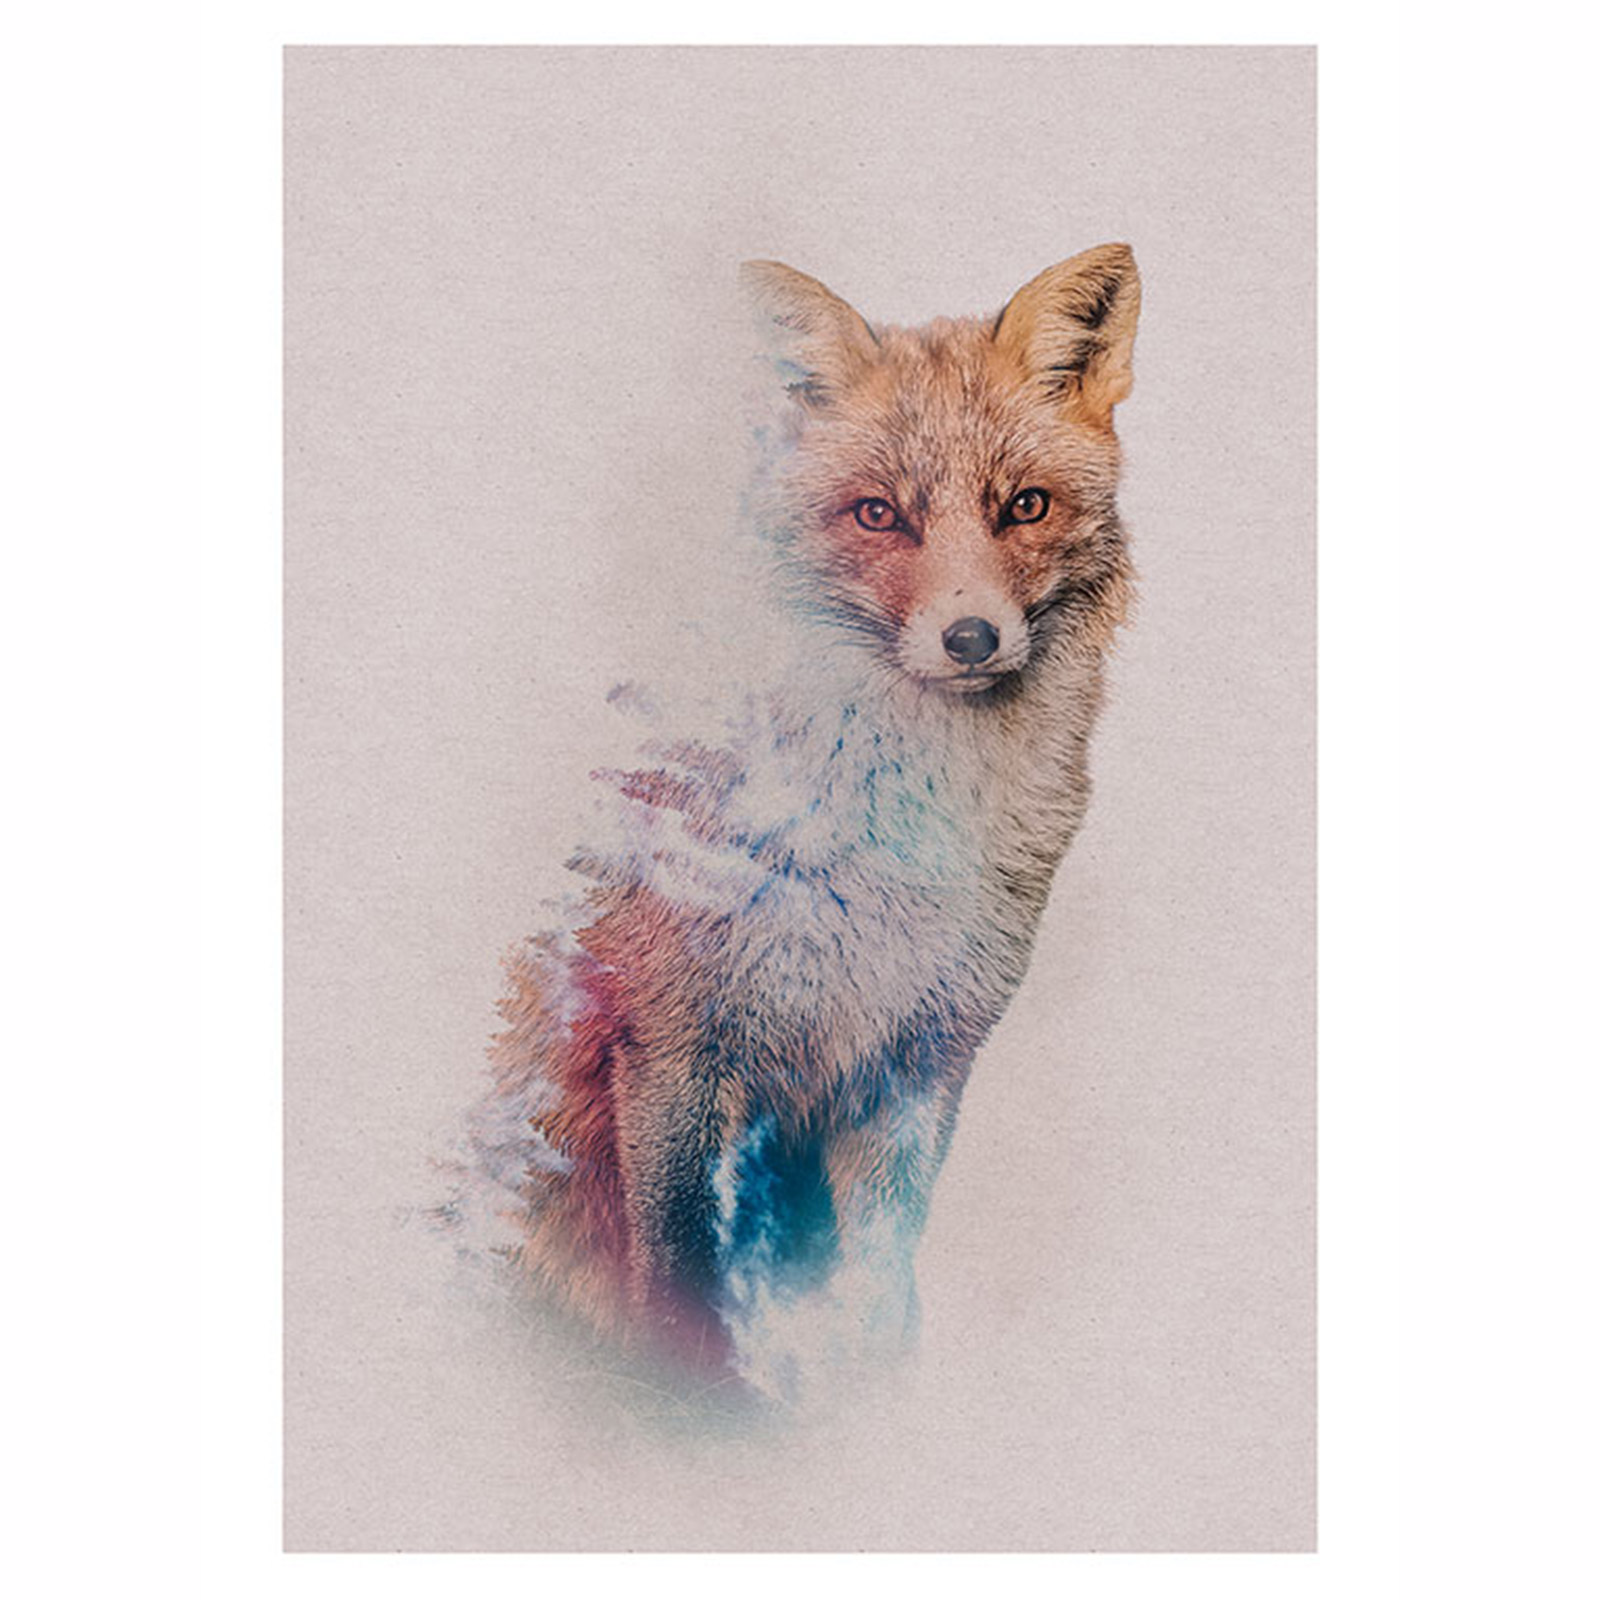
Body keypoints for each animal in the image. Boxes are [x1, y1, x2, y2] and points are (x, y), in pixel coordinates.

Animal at [442, 243, 1142, 1405]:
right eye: (878, 515)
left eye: (1025, 505)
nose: (970, 637)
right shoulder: (670, 1043)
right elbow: (682, 1280)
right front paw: (699, 1412)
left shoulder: (917, 1060)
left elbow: (881, 1289)